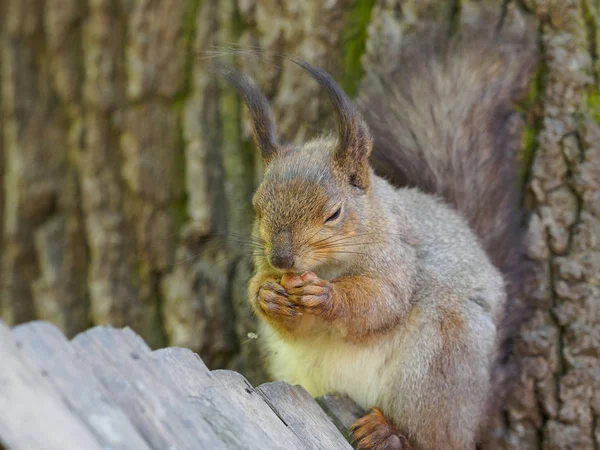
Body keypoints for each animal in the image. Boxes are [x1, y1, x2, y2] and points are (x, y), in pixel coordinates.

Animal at [223, 13, 536, 450]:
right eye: (257, 208)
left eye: (334, 213)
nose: (281, 258)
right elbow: (291, 323)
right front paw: (267, 294)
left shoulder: (397, 261)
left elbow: (379, 302)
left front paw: (329, 297)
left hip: (440, 367)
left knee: (432, 436)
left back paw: (388, 431)